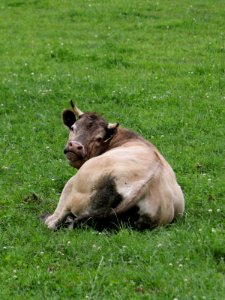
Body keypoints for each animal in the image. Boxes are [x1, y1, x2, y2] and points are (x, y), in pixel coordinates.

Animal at [44, 101, 185, 230]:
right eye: (73, 127)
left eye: (99, 138)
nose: (75, 146)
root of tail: (146, 183)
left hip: (75, 189)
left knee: (58, 218)